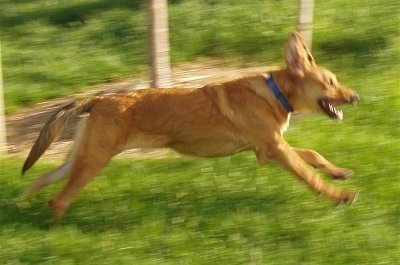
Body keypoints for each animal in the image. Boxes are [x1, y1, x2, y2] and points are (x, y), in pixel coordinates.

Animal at [21, 32, 360, 220]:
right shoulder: (275, 149)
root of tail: (97, 100)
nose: (356, 97)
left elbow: (313, 155)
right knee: (58, 199)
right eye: (330, 82)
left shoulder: (265, 151)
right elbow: (309, 176)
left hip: (81, 158)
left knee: (41, 182)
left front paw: (339, 172)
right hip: (93, 161)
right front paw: (341, 196)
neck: (274, 93)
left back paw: (21, 202)